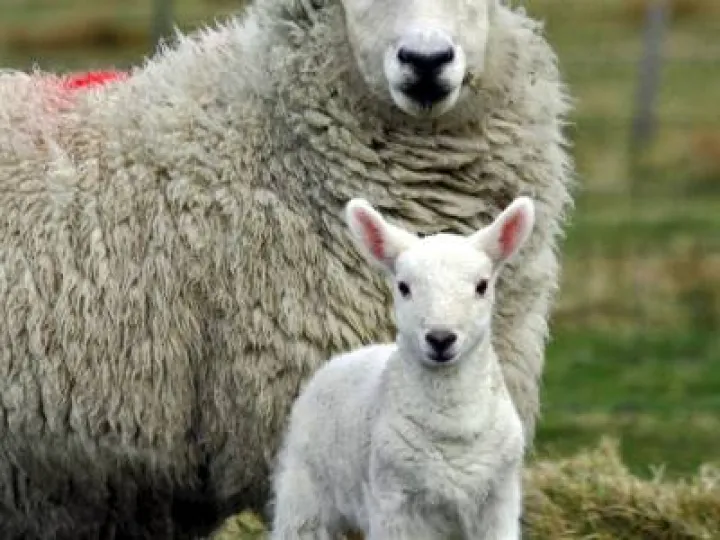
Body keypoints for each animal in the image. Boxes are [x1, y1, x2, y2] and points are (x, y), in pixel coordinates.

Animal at [271, 195, 534, 540]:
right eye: (404, 287)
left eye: (482, 286)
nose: (440, 338)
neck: (453, 427)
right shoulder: (394, 504)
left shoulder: (499, 500)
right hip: (304, 497)